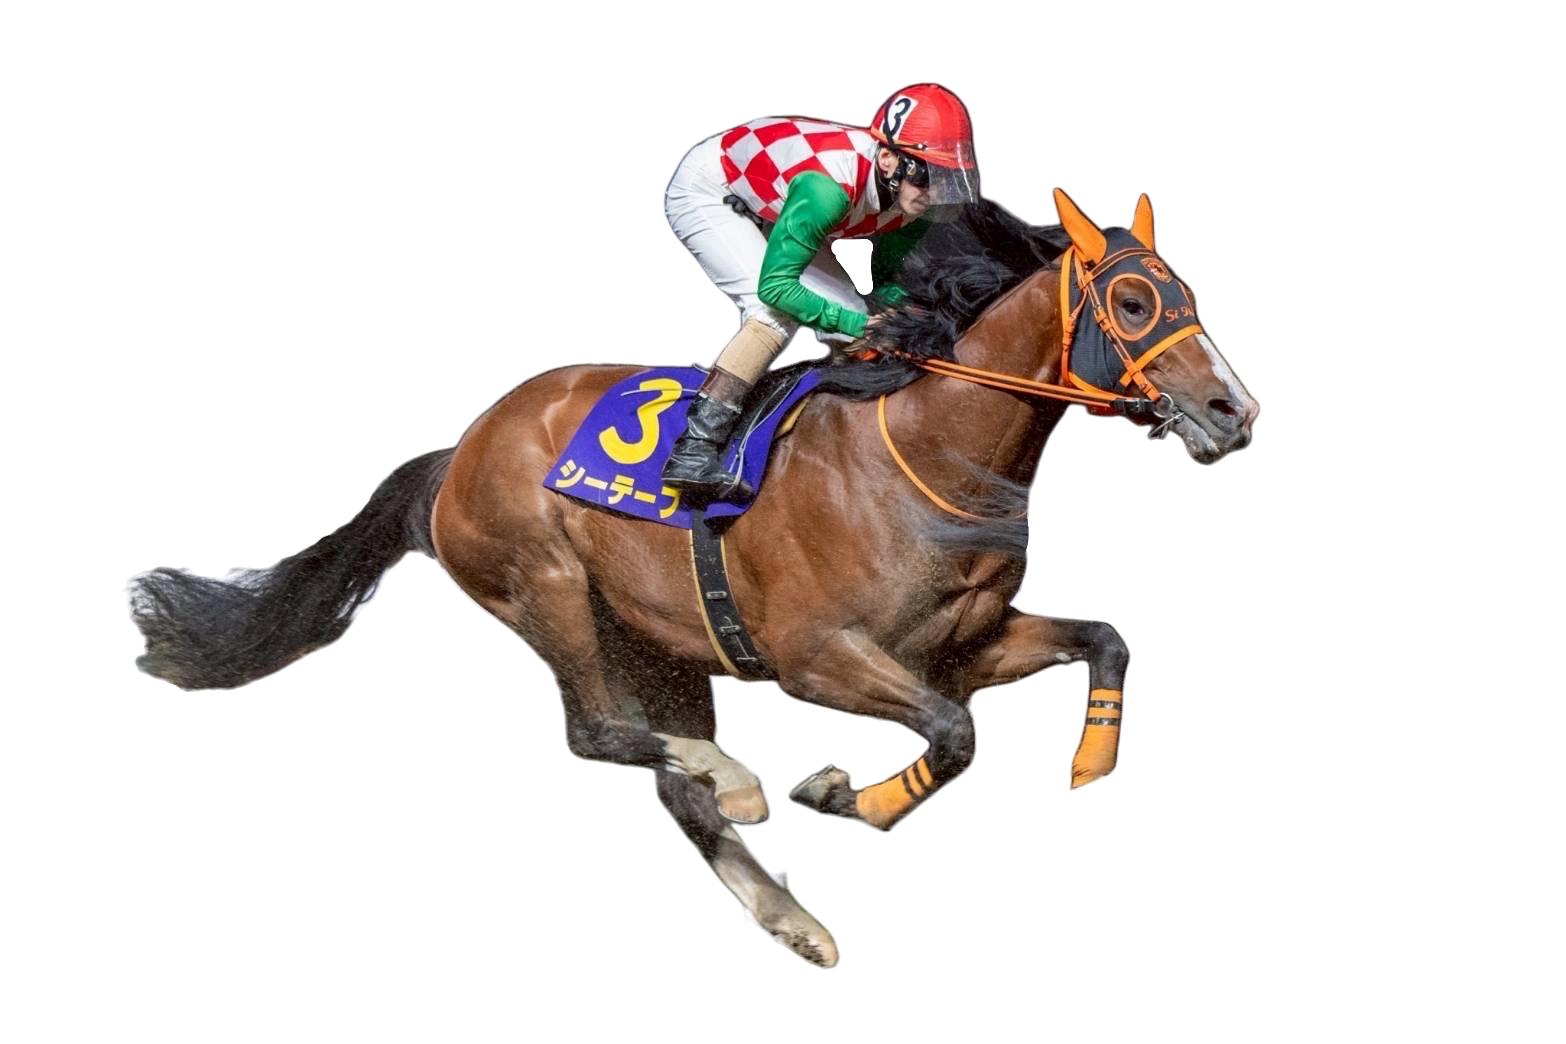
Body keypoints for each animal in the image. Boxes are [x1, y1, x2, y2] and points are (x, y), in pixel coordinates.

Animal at [128, 188, 1259, 969]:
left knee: (665, 778)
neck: (934, 447)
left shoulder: (964, 644)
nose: (1233, 410)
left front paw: (1087, 762)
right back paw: (734, 779)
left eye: (1188, 295)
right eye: (1130, 299)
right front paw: (847, 795)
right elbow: (951, 734)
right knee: (601, 735)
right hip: (545, 583)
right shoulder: (818, 654)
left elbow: (1100, 641)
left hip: (662, 639)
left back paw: (788, 912)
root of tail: (460, 445)